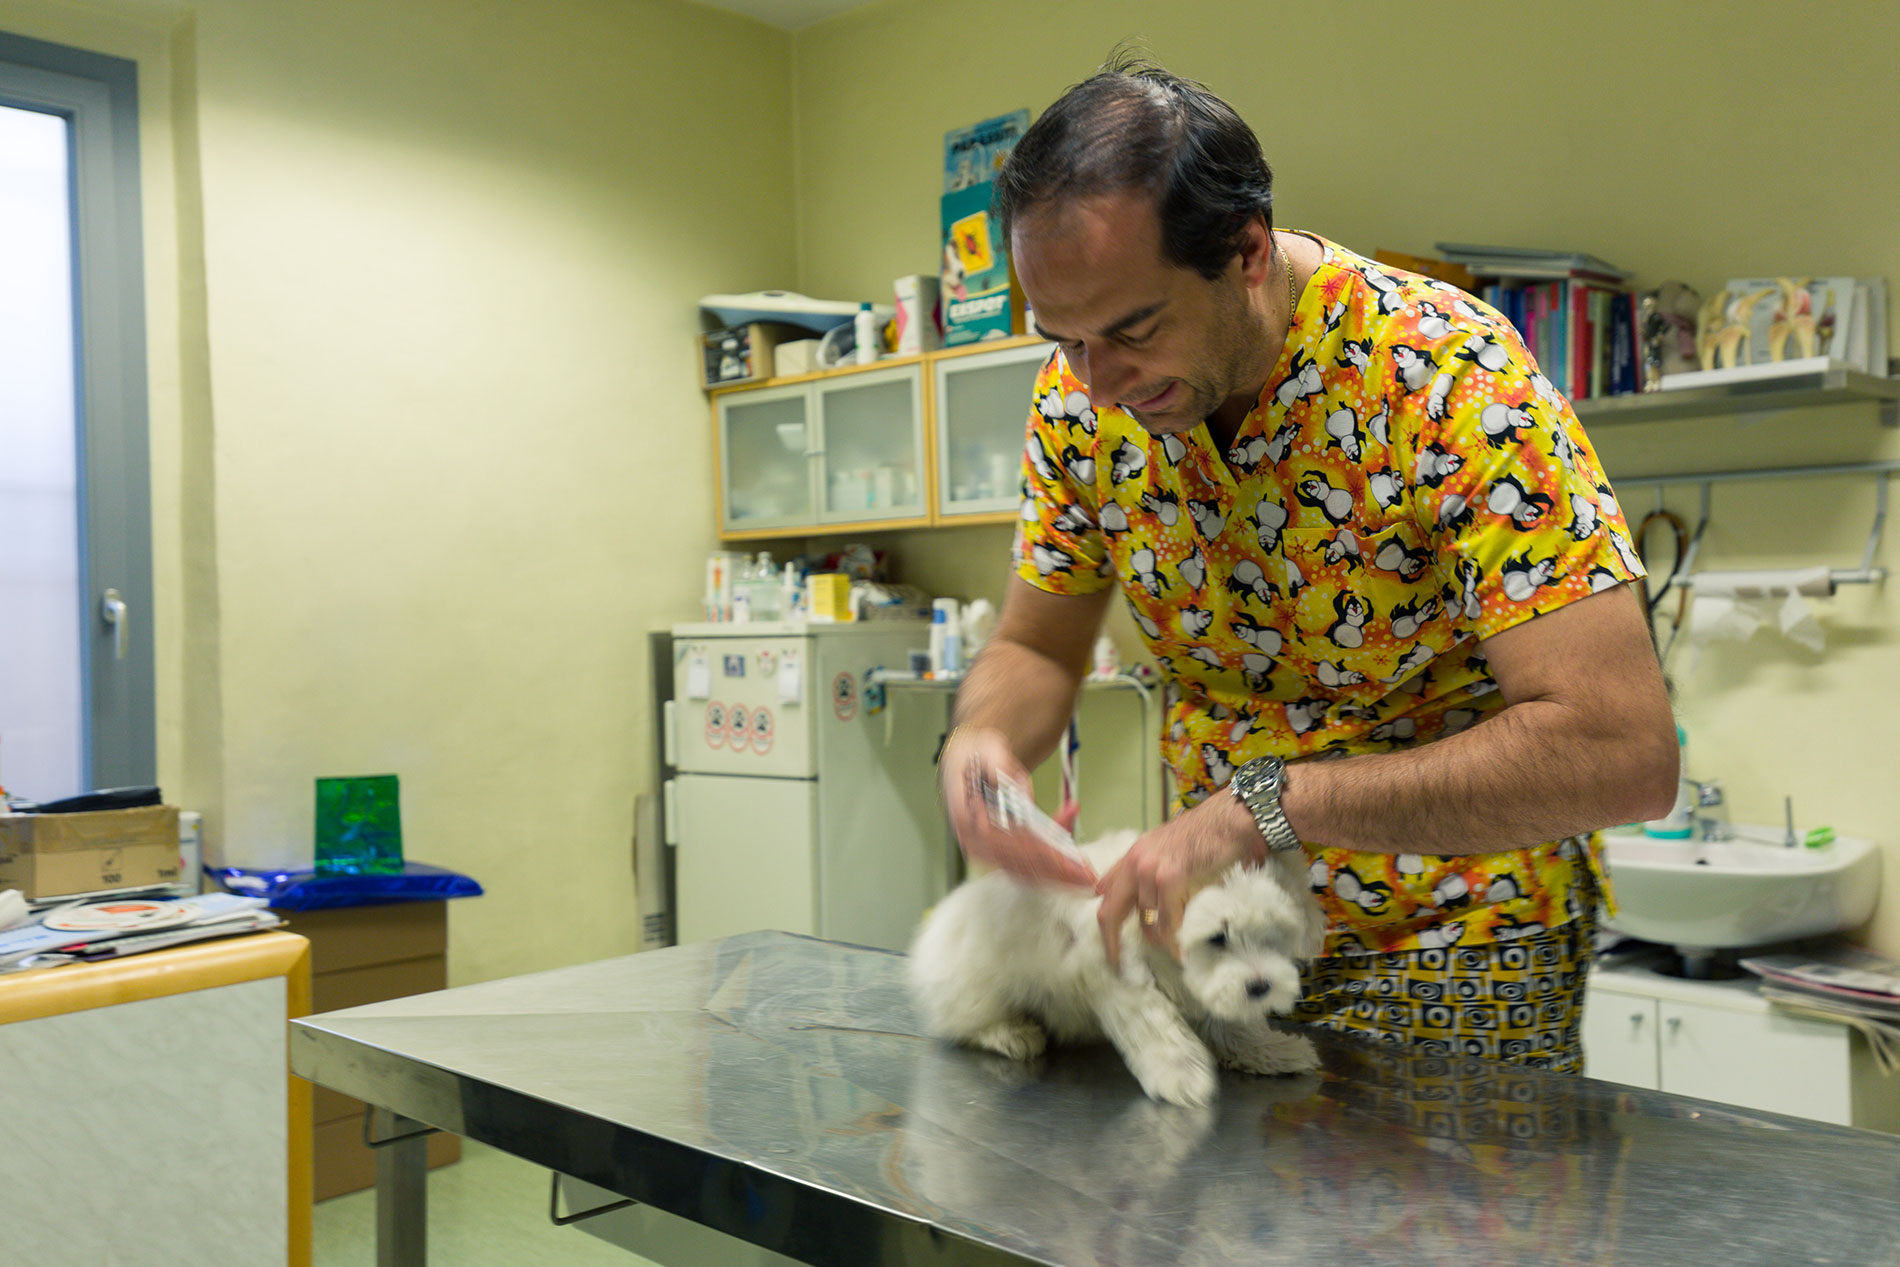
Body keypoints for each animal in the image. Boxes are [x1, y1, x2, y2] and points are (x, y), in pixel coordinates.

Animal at [904, 828, 1322, 1101]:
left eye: (1273, 934)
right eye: (1218, 937)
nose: (1260, 987)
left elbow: (1232, 1024)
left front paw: (1273, 1050)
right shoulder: (1119, 971)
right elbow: (1157, 1026)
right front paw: (1181, 1074)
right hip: (976, 989)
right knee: (965, 1023)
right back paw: (1012, 1033)